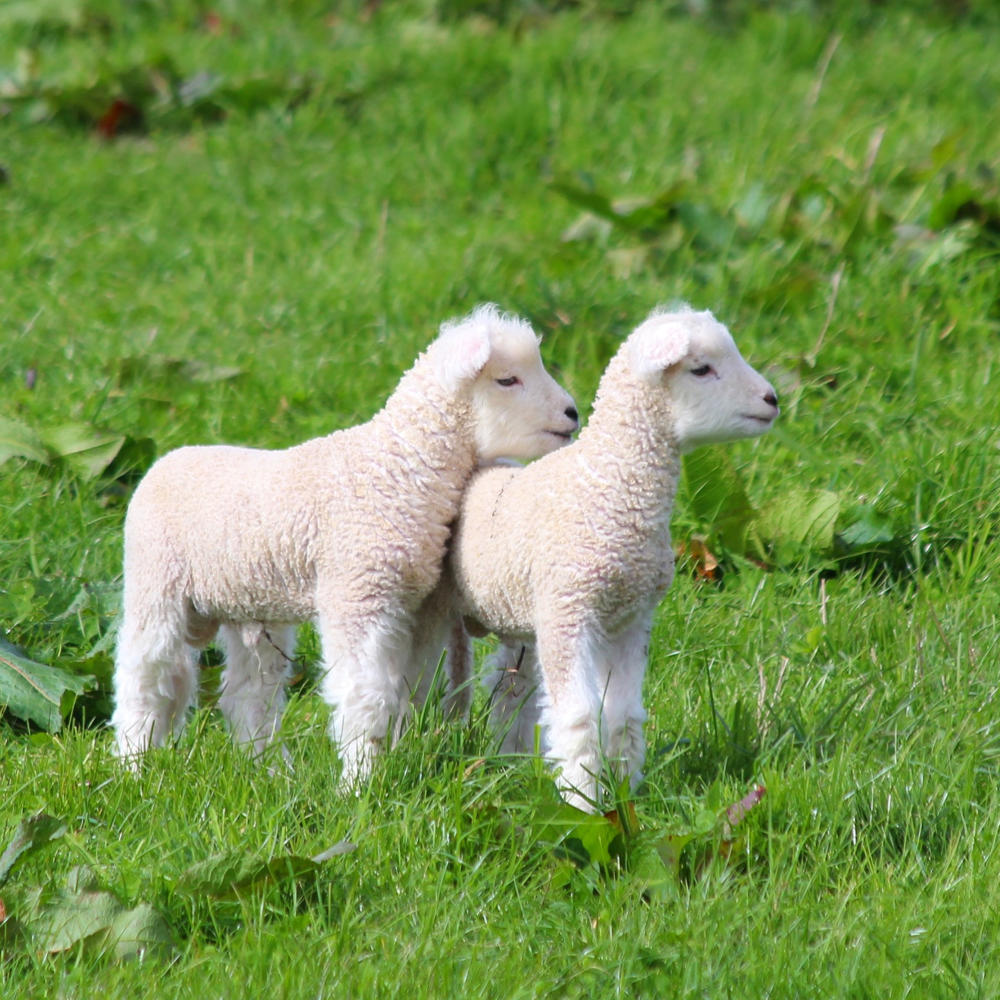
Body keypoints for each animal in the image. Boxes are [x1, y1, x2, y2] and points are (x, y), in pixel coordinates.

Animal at [110, 304, 584, 780]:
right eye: (507, 380)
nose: (572, 414)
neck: (399, 465)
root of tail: (167, 459)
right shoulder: (356, 591)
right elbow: (365, 693)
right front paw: (361, 776)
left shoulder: (406, 605)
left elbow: (405, 686)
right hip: (156, 583)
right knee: (145, 676)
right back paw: (134, 762)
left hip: (252, 605)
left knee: (247, 691)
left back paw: (270, 769)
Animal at [446, 304, 780, 812]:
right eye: (701, 369)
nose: (772, 399)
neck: (608, 481)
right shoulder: (569, 612)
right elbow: (581, 717)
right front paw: (583, 804)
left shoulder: (629, 619)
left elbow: (622, 716)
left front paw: (624, 794)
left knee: (509, 688)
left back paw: (509, 763)